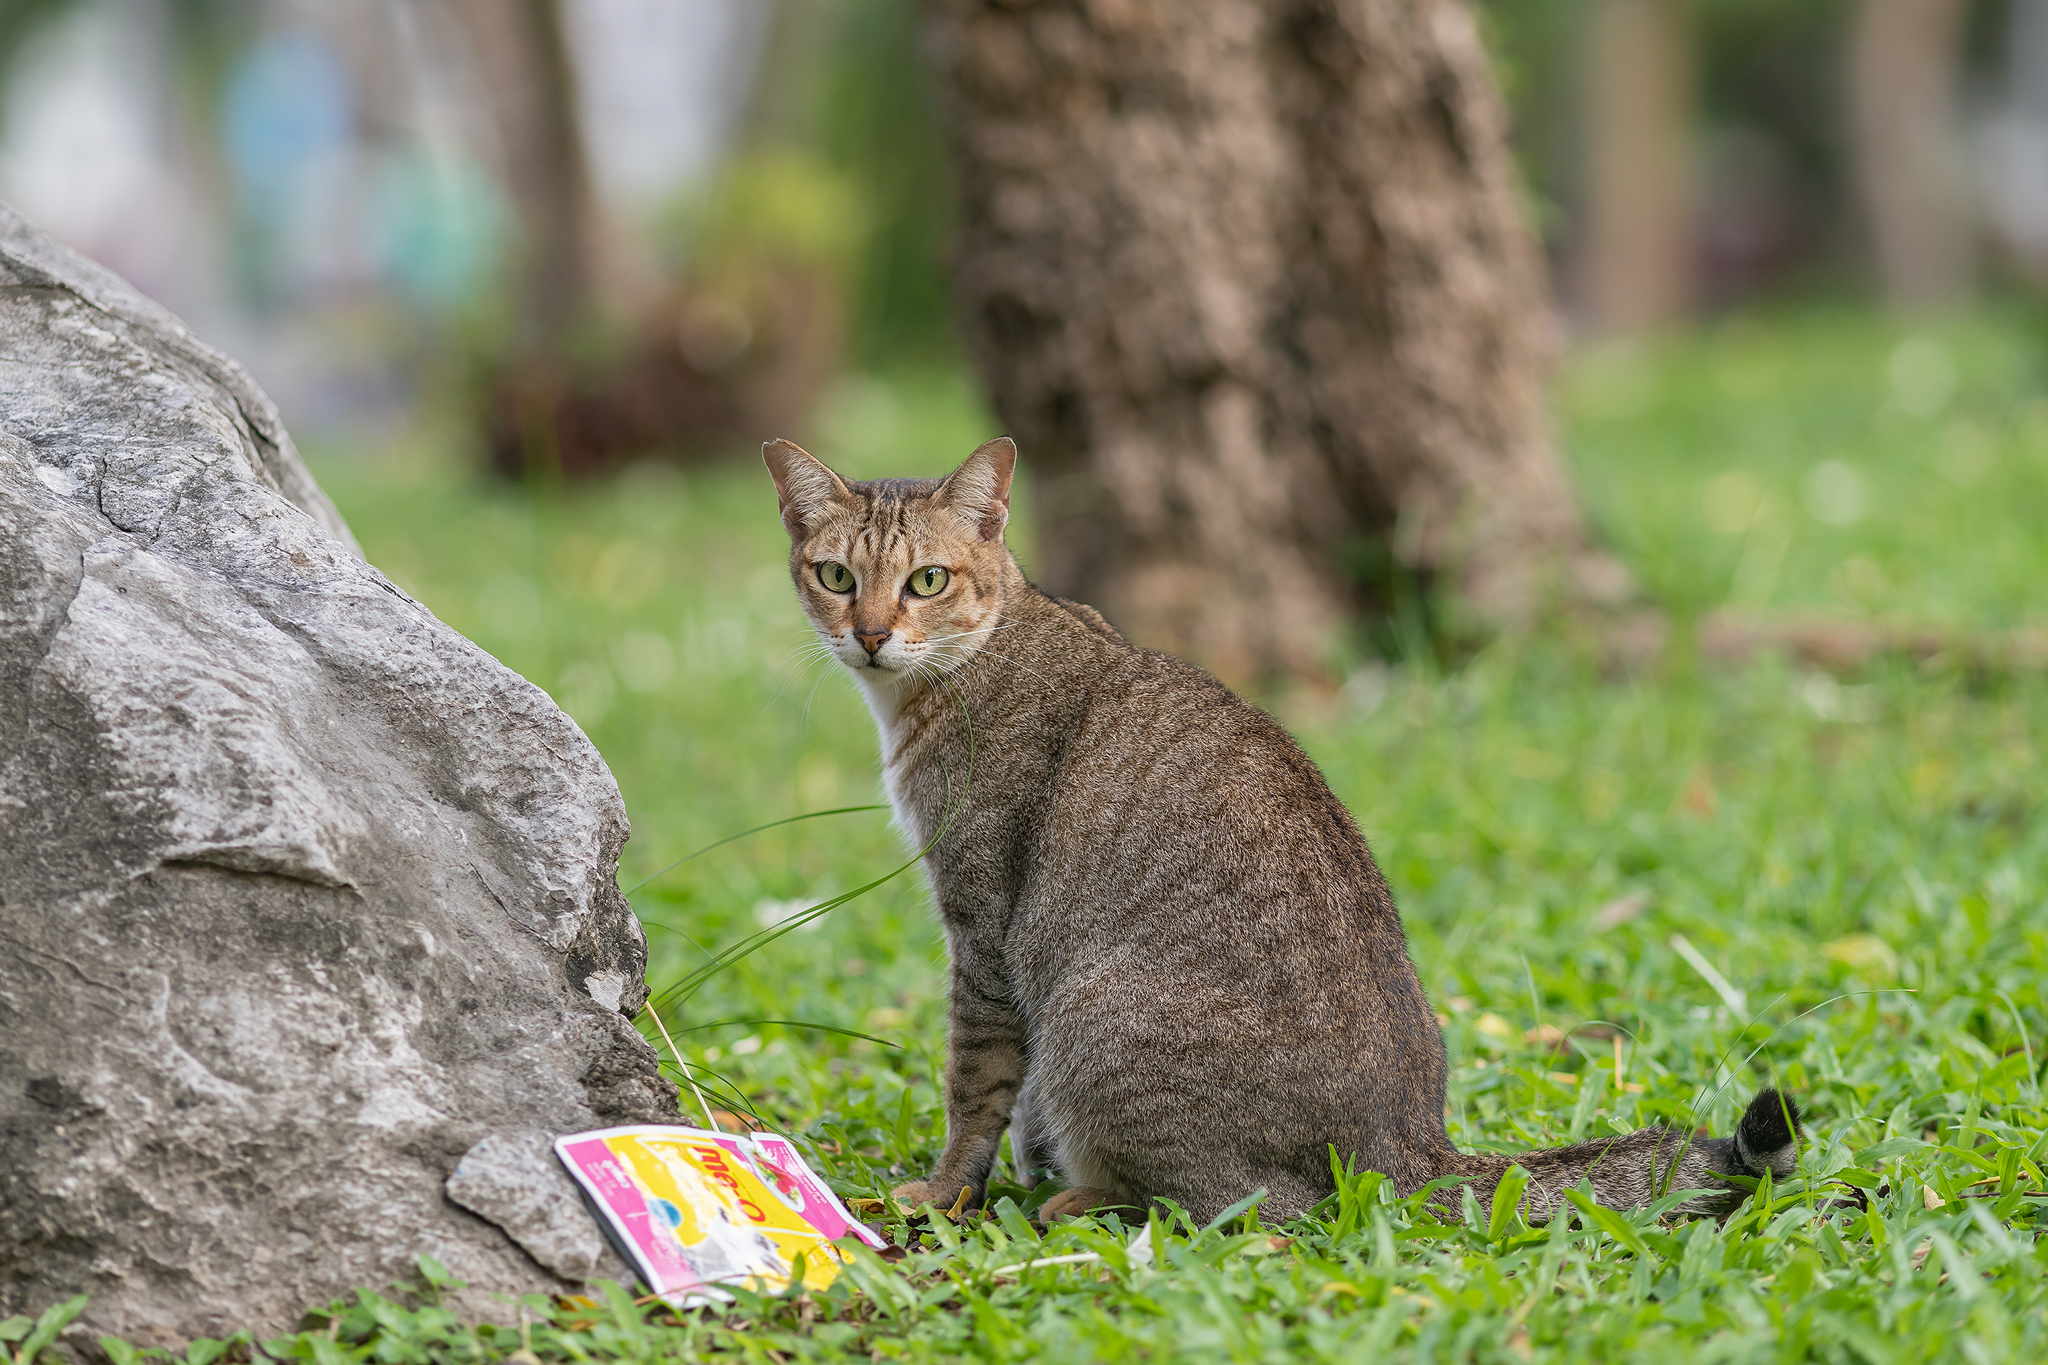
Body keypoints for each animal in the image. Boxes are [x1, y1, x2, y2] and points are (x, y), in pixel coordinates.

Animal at [762, 434, 1802, 1225]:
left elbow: (975, 1089)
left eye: (928, 580)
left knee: (1258, 1202)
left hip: (1092, 1016)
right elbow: (1007, 1107)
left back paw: (1086, 1197)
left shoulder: (982, 933)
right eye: (837, 575)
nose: (870, 633)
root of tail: (1412, 1144)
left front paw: (945, 1190)